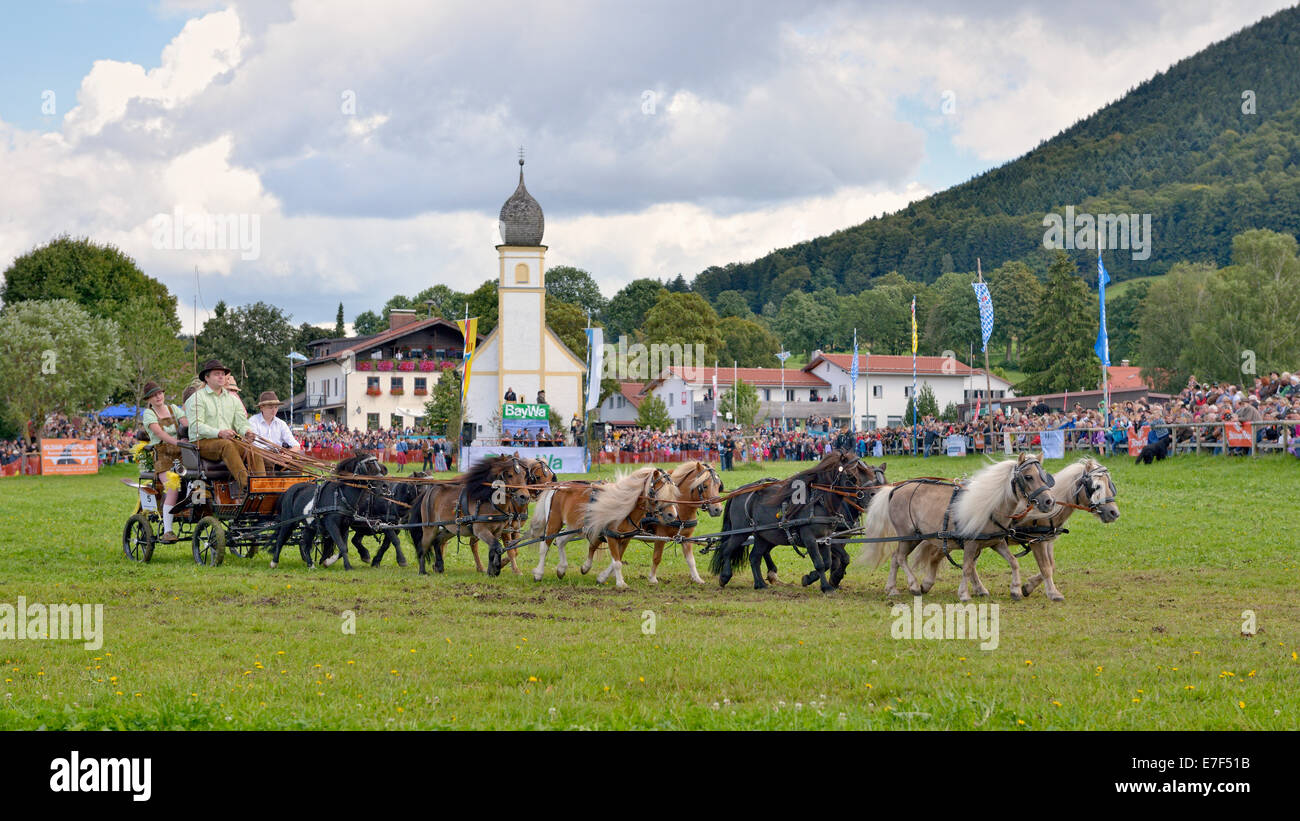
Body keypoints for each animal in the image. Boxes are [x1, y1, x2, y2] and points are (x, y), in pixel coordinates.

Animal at [712, 452, 883, 592]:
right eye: (852, 476)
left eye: (870, 475)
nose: (873, 497)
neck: (820, 503)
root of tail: (739, 491)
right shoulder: (810, 539)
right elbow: (821, 563)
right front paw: (826, 586)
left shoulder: (826, 539)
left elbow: (828, 562)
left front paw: (810, 579)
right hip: (740, 532)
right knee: (727, 549)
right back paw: (725, 576)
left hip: (763, 536)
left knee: (754, 557)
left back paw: (760, 584)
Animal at [863, 452, 1055, 600]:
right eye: (1028, 476)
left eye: (1044, 475)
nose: (1049, 501)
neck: (990, 506)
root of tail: (894, 490)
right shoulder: (971, 543)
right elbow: (968, 568)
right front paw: (964, 594)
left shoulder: (996, 543)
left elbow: (1014, 562)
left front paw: (1015, 589)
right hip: (908, 536)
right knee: (900, 557)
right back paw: (914, 586)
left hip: (912, 538)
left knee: (895, 558)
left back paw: (892, 589)